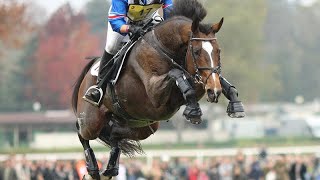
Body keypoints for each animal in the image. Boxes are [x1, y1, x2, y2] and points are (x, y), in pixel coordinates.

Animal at [73, 0, 225, 179]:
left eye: (218, 51)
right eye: (196, 51)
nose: (214, 91)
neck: (164, 49)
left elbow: (192, 83)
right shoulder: (155, 93)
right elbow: (176, 73)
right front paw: (193, 111)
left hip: (142, 125)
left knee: (115, 134)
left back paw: (111, 167)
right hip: (91, 121)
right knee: (82, 132)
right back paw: (92, 169)